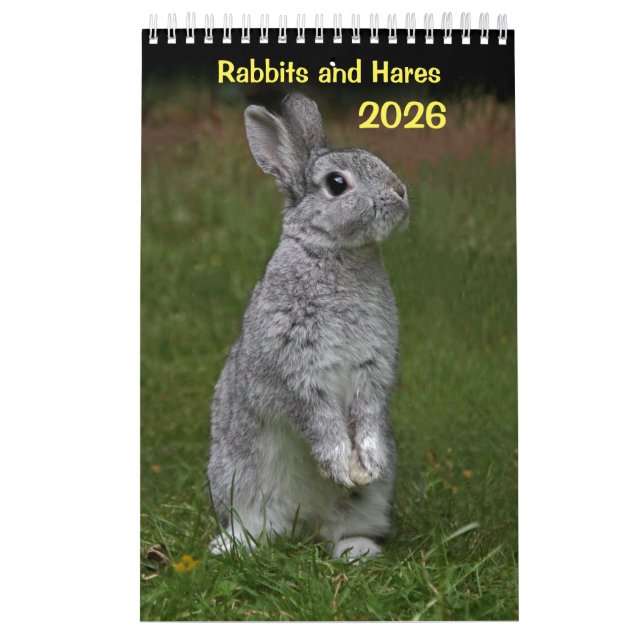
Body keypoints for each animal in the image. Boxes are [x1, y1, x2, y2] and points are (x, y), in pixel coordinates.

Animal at [207, 92, 409, 559]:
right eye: (337, 184)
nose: (400, 192)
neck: (336, 251)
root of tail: (305, 521)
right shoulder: (296, 370)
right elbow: (318, 419)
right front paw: (340, 465)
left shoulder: (373, 370)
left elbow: (368, 414)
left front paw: (367, 464)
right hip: (238, 480)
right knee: (257, 525)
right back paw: (231, 547)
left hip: (370, 502)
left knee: (345, 527)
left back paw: (357, 550)